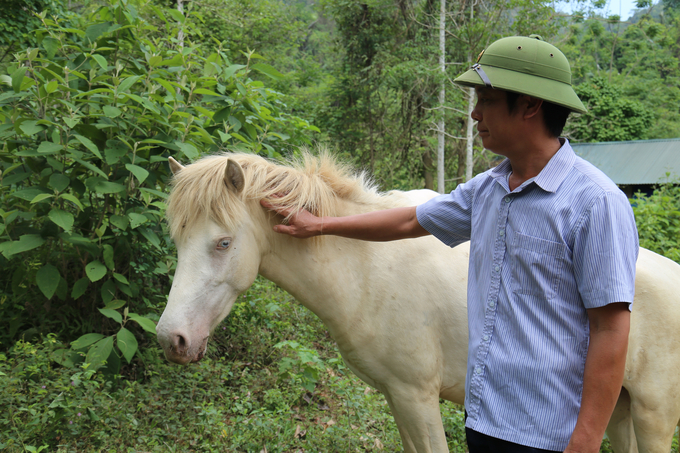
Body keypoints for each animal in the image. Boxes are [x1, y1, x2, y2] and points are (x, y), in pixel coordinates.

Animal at [157, 153, 680, 452]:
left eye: (223, 243)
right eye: (178, 239)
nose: (171, 339)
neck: (367, 267)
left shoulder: (417, 397)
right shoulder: (396, 397)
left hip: (653, 418)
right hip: (618, 412)